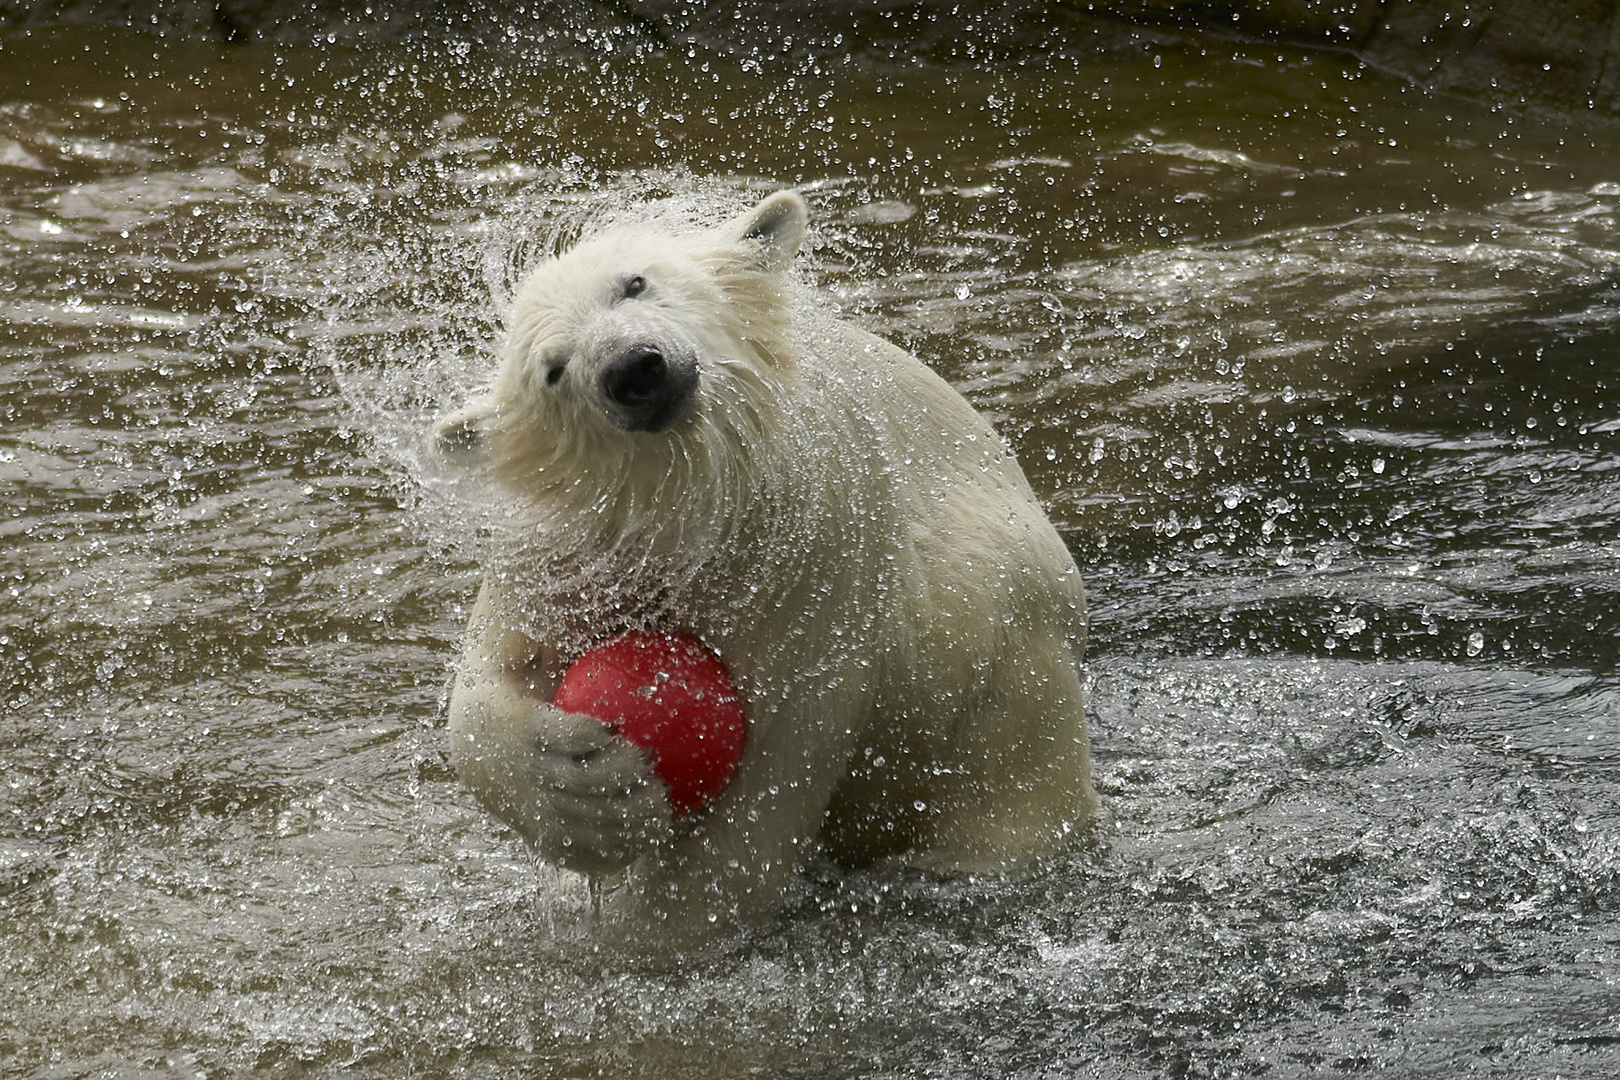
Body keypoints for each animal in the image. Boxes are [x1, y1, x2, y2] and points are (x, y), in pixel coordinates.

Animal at [434, 190, 1088, 939]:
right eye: (553, 370)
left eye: (634, 282)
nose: (632, 369)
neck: (689, 510)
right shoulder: (565, 548)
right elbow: (490, 673)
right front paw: (584, 795)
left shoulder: (805, 557)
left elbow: (763, 795)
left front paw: (638, 935)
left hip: (1001, 650)